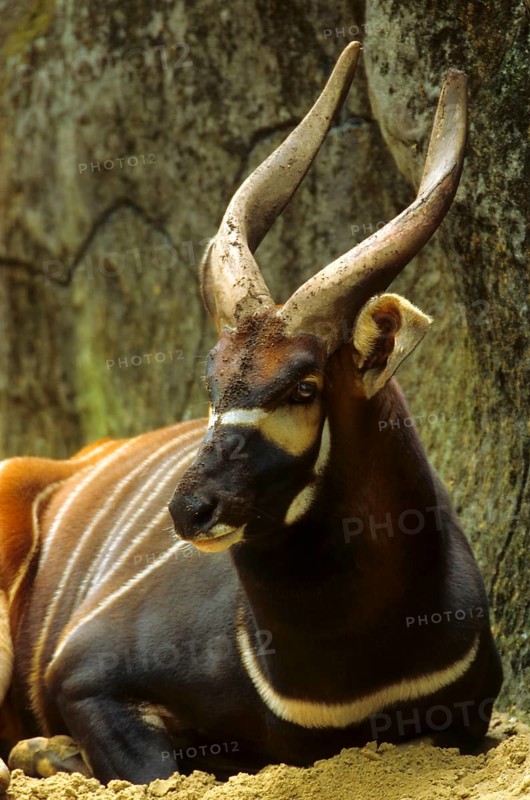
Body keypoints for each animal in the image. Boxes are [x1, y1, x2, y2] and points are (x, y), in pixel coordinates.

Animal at [0, 43, 502, 787]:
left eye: (303, 386)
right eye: (212, 384)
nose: (190, 509)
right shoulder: (83, 671)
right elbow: (160, 766)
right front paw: (51, 749)